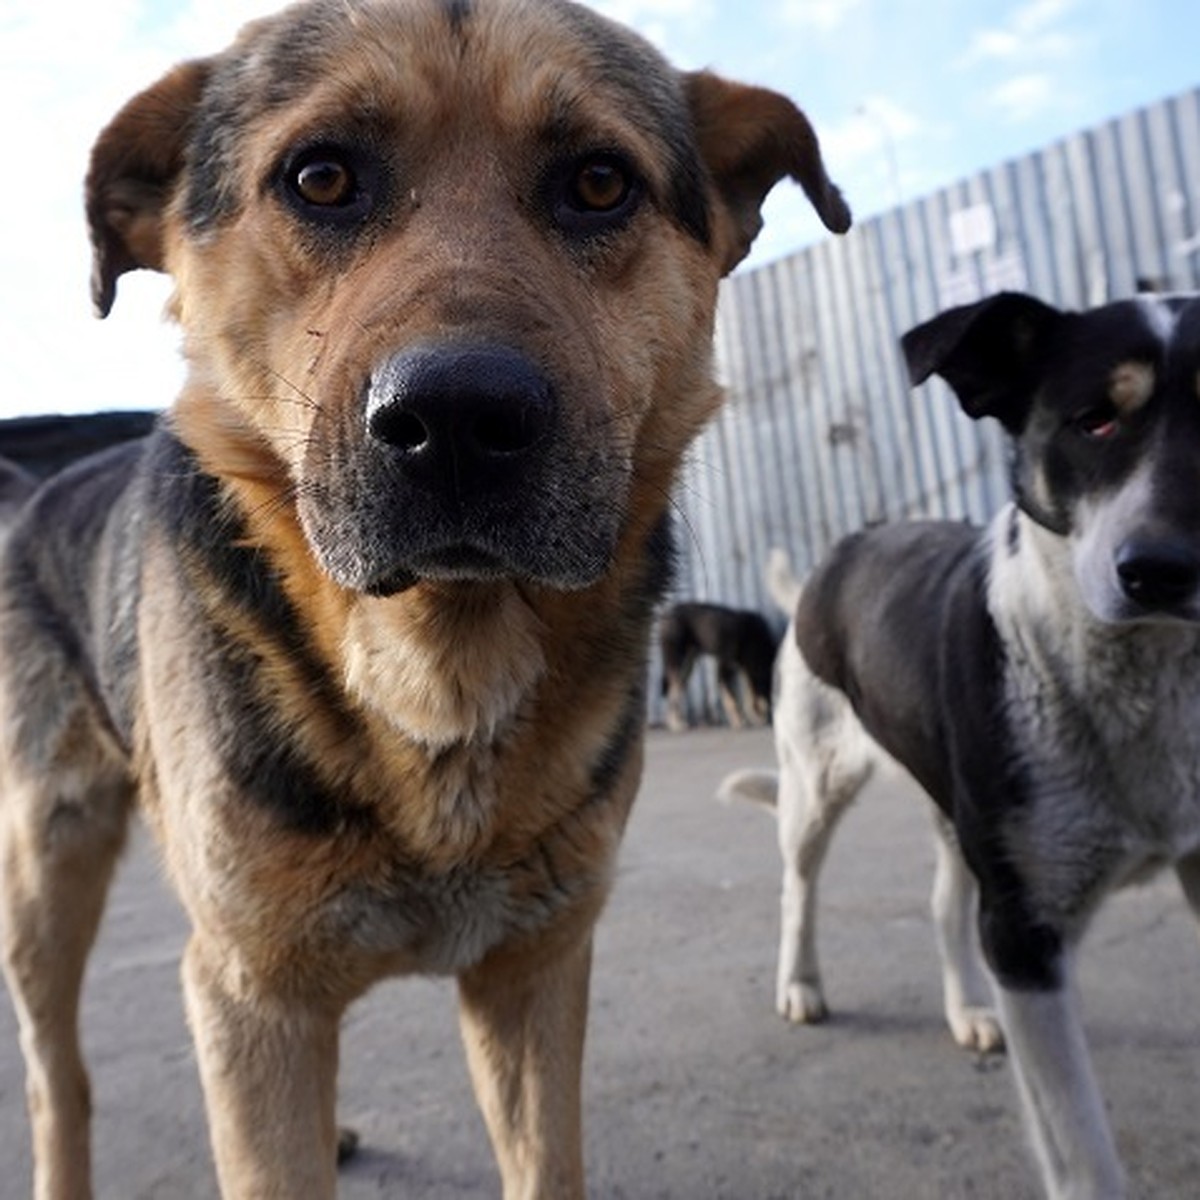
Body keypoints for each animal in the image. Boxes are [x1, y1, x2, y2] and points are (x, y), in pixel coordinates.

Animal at [657, 600, 777, 729]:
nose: (770, 720)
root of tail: (666, 615)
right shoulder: (724, 669)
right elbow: (732, 700)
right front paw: (739, 721)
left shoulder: (742, 670)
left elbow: (748, 696)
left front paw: (754, 718)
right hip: (679, 664)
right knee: (672, 692)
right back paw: (675, 724)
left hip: (687, 666)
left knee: (677, 691)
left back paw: (676, 720)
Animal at [720, 292, 1200, 1200]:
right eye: (1094, 421)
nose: (1165, 570)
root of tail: (843, 549)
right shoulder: (1024, 934)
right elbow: (1081, 1154)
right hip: (816, 781)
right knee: (798, 886)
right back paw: (801, 985)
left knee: (945, 901)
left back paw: (969, 1010)